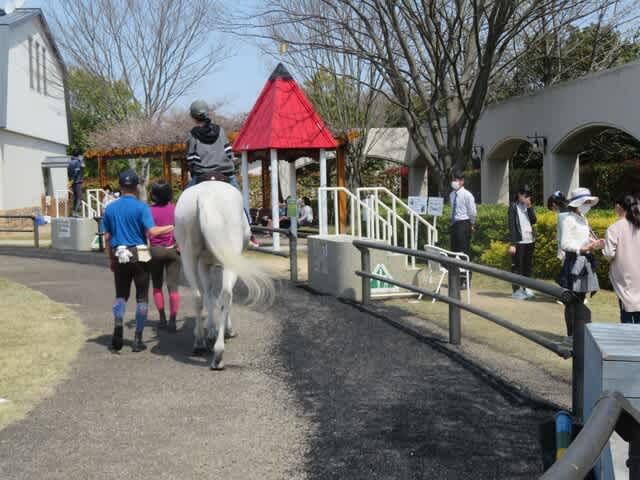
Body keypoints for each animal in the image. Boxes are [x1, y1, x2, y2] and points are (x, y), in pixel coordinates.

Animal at [174, 180, 274, 370]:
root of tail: (204, 196)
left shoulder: (203, 263)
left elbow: (208, 294)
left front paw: (210, 329)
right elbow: (219, 296)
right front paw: (223, 329)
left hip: (187, 254)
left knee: (197, 296)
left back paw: (199, 342)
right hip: (230, 257)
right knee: (226, 295)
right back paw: (219, 352)